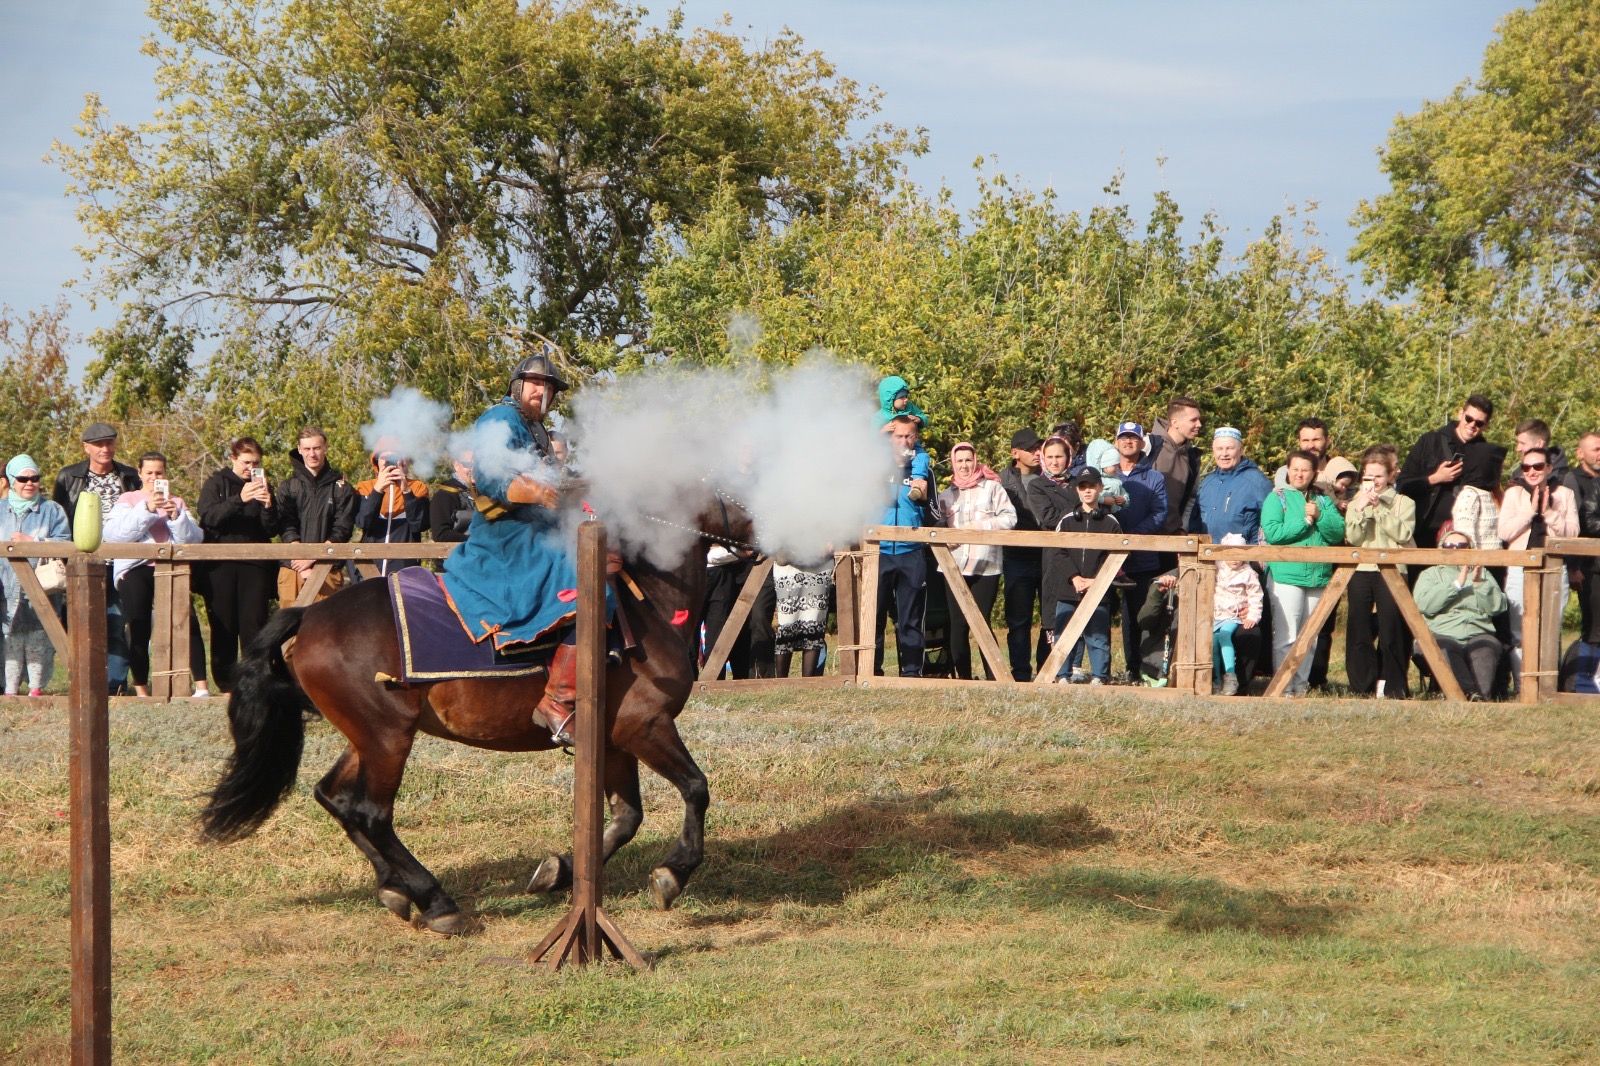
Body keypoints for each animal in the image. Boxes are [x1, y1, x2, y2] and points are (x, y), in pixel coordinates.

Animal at [198, 496, 748, 928]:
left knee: (335, 799)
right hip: (388, 738)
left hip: (367, 738)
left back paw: (394, 888)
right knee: (371, 813)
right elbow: (696, 789)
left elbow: (626, 817)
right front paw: (674, 873)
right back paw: (436, 901)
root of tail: (311, 614)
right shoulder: (646, 727)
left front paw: (560, 872)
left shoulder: (614, 741)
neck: (647, 602)